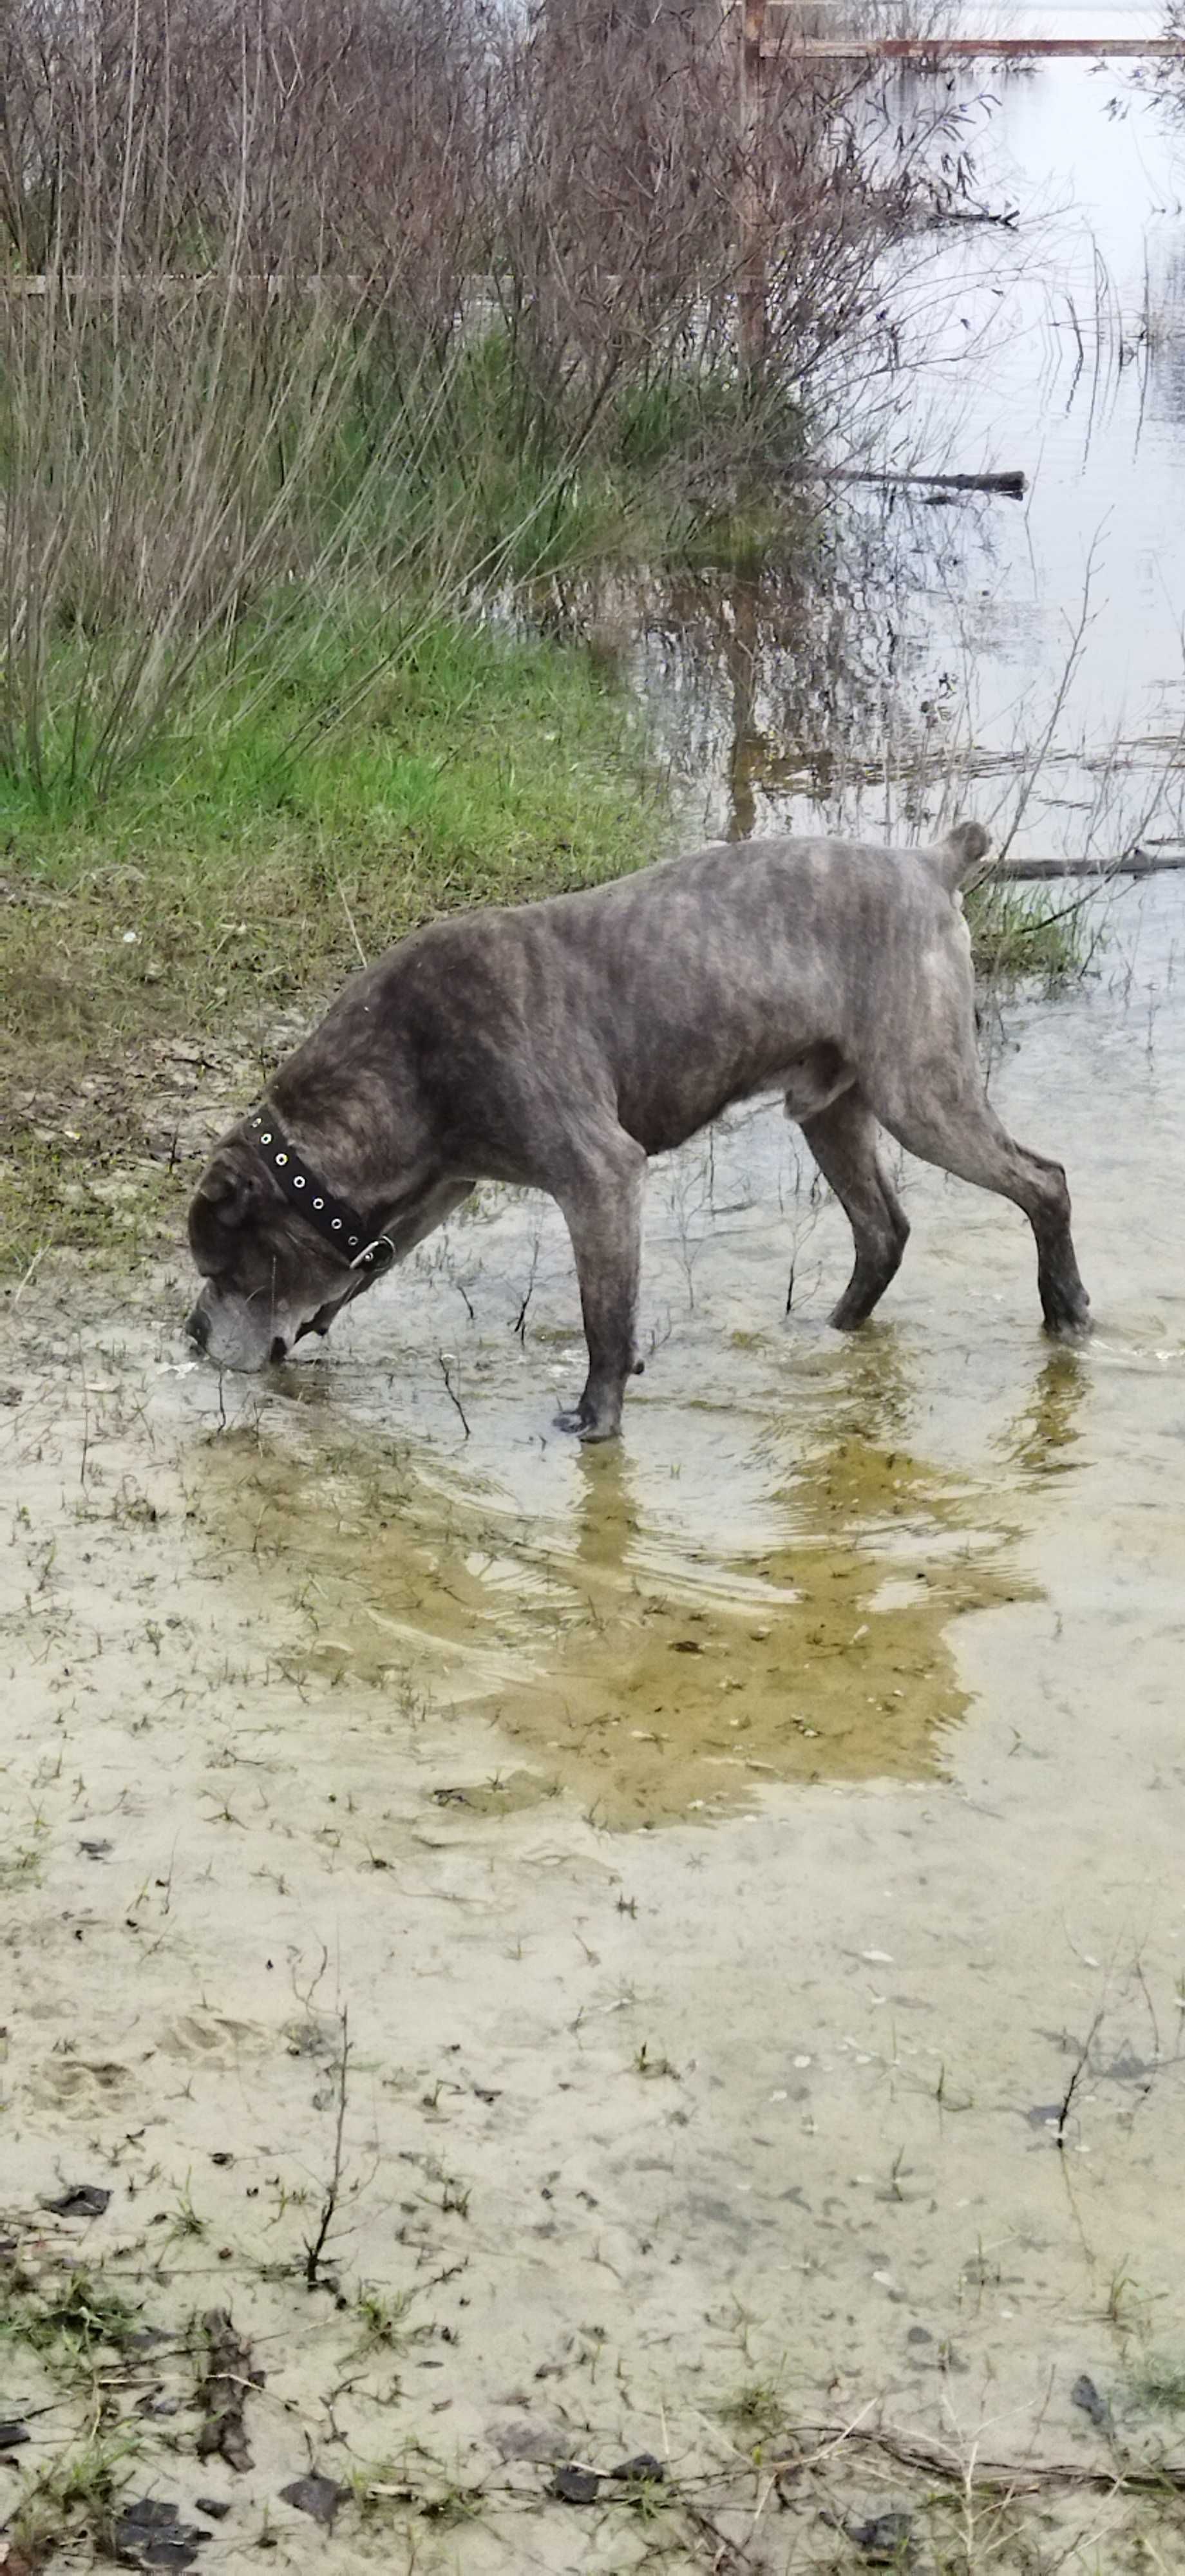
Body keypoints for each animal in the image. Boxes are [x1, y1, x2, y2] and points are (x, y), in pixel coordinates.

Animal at [188, 819, 1092, 1443]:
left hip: (921, 1094)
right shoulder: (443, 1184)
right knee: (882, 1230)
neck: (406, 1052)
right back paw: (834, 1334)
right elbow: (368, 1264)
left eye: (225, 1266)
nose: (193, 1336)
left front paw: (597, 1419)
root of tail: (929, 863)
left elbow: (605, 1319)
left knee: (1043, 1181)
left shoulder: (600, 1176)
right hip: (831, 1109)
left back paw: (1068, 1311)